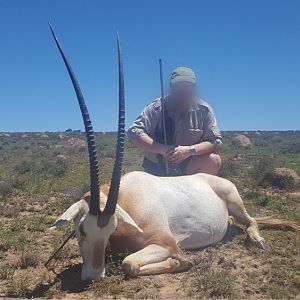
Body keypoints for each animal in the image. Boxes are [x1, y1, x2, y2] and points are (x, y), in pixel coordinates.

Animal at [48, 25, 298, 282]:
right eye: (81, 229)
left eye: (111, 228)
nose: (94, 276)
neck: (127, 199)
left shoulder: (165, 243)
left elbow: (130, 264)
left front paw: (183, 262)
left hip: (235, 202)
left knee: (251, 220)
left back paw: (257, 240)